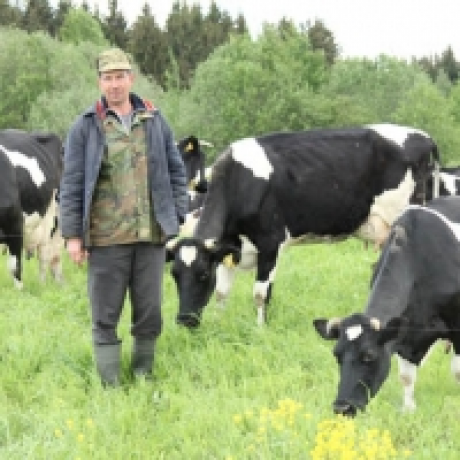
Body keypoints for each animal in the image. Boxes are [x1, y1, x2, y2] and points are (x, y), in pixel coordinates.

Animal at [169, 124, 440, 328]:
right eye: (174, 275)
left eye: (203, 275)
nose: (184, 321)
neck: (240, 183)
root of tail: (423, 136)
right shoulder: (230, 247)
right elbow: (222, 293)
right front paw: (219, 324)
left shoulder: (270, 243)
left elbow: (260, 294)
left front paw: (260, 330)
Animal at [313, 196, 460, 416]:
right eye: (337, 355)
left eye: (369, 356)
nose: (341, 407)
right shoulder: (406, 334)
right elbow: (406, 377)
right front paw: (408, 410)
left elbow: (457, 371)